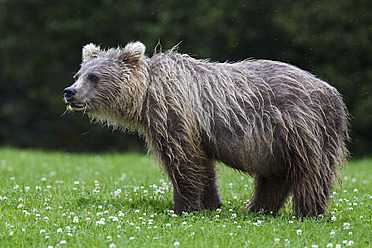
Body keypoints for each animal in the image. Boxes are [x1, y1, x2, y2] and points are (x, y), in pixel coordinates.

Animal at [63, 42, 348, 217]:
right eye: (78, 74)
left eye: (95, 77)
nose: (70, 92)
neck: (144, 98)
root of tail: (335, 95)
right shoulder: (196, 132)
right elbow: (203, 166)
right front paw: (212, 203)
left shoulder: (175, 115)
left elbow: (182, 162)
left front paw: (184, 206)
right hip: (277, 144)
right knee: (275, 177)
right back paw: (256, 209)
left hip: (301, 127)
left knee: (311, 173)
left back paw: (308, 212)